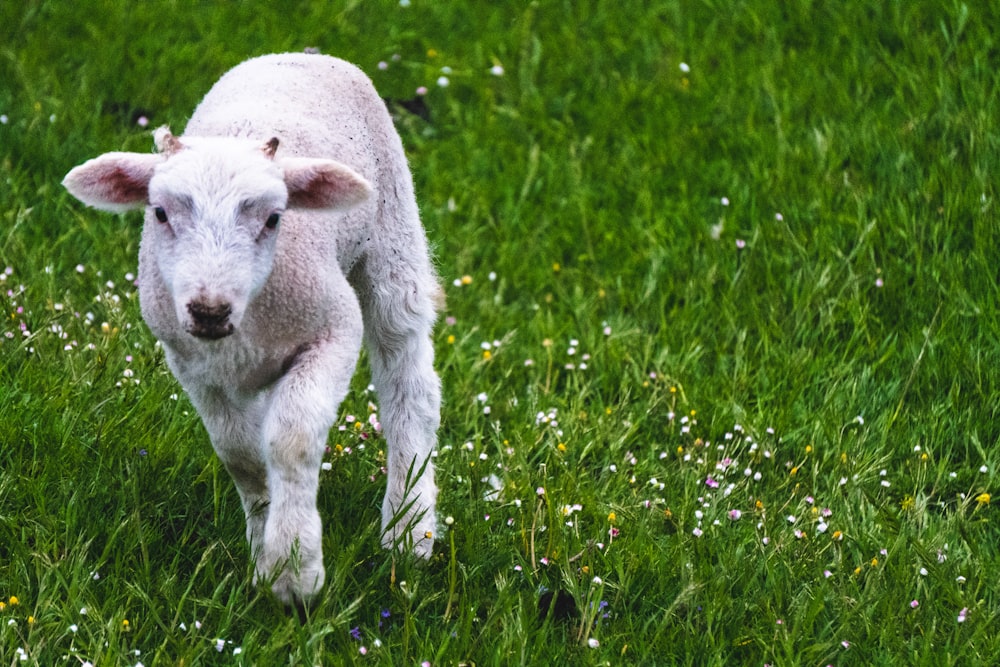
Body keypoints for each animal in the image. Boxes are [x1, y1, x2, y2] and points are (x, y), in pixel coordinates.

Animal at [59, 52, 442, 604]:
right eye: (159, 213)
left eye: (274, 218)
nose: (208, 310)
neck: (244, 322)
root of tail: (302, 53)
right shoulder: (191, 362)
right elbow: (240, 454)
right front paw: (266, 554)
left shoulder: (334, 330)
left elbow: (292, 439)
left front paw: (294, 573)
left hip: (393, 231)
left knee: (407, 382)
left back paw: (410, 531)